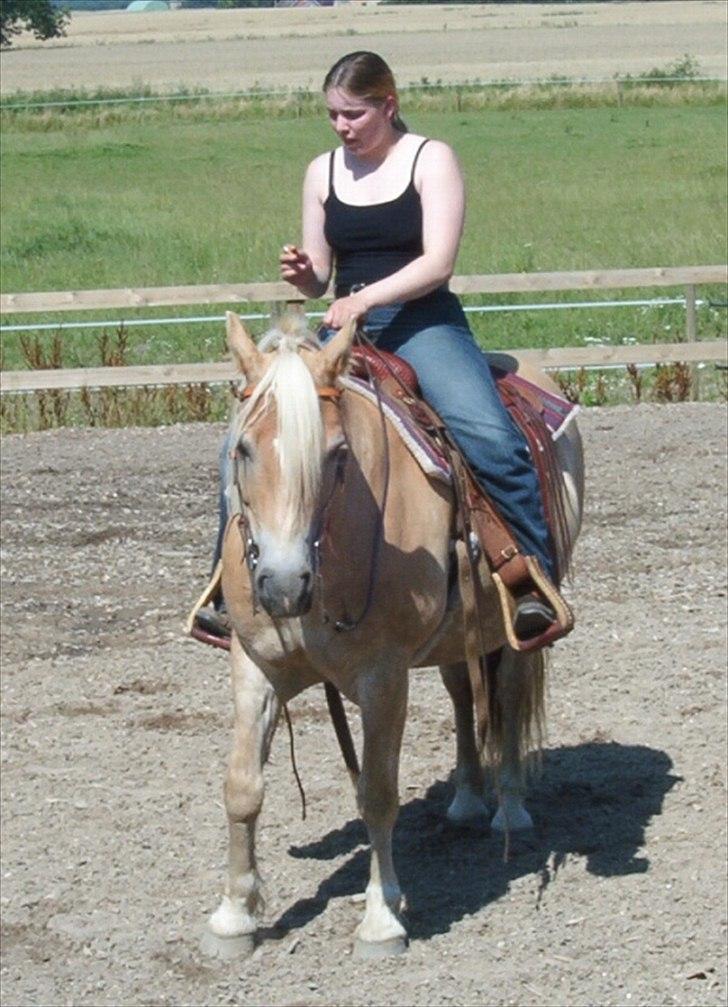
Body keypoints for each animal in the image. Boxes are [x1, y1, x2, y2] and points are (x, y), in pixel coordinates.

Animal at [203, 312, 588, 958]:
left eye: (337, 454)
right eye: (244, 449)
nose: (281, 584)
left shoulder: (382, 677)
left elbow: (378, 794)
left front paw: (382, 920)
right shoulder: (252, 665)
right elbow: (242, 787)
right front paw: (233, 916)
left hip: (511, 630)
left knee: (508, 699)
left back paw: (508, 808)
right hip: (459, 632)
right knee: (463, 695)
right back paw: (466, 798)